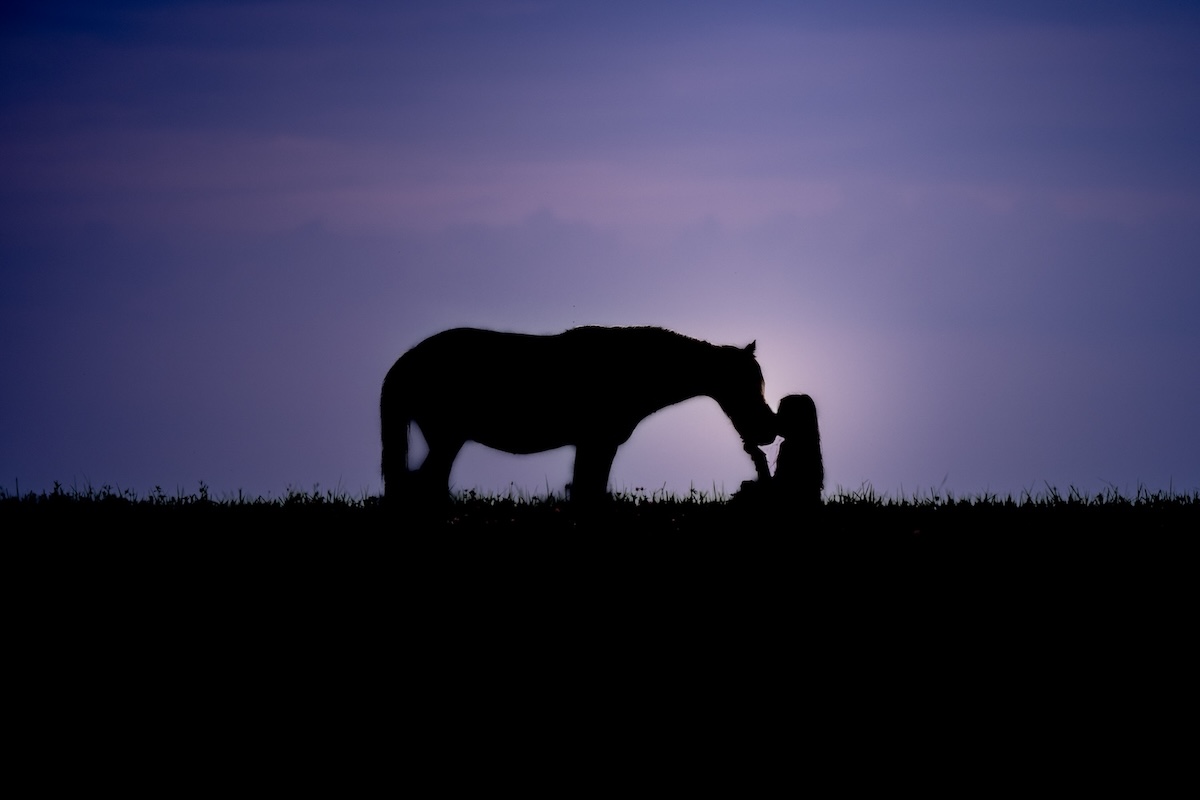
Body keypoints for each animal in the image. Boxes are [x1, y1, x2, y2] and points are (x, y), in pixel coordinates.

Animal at [381, 326, 777, 504]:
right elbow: (588, 489)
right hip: (447, 436)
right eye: (745, 385)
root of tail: (405, 362)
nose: (768, 431)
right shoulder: (597, 442)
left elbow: (588, 487)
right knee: (423, 483)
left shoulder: (595, 445)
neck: (634, 369)